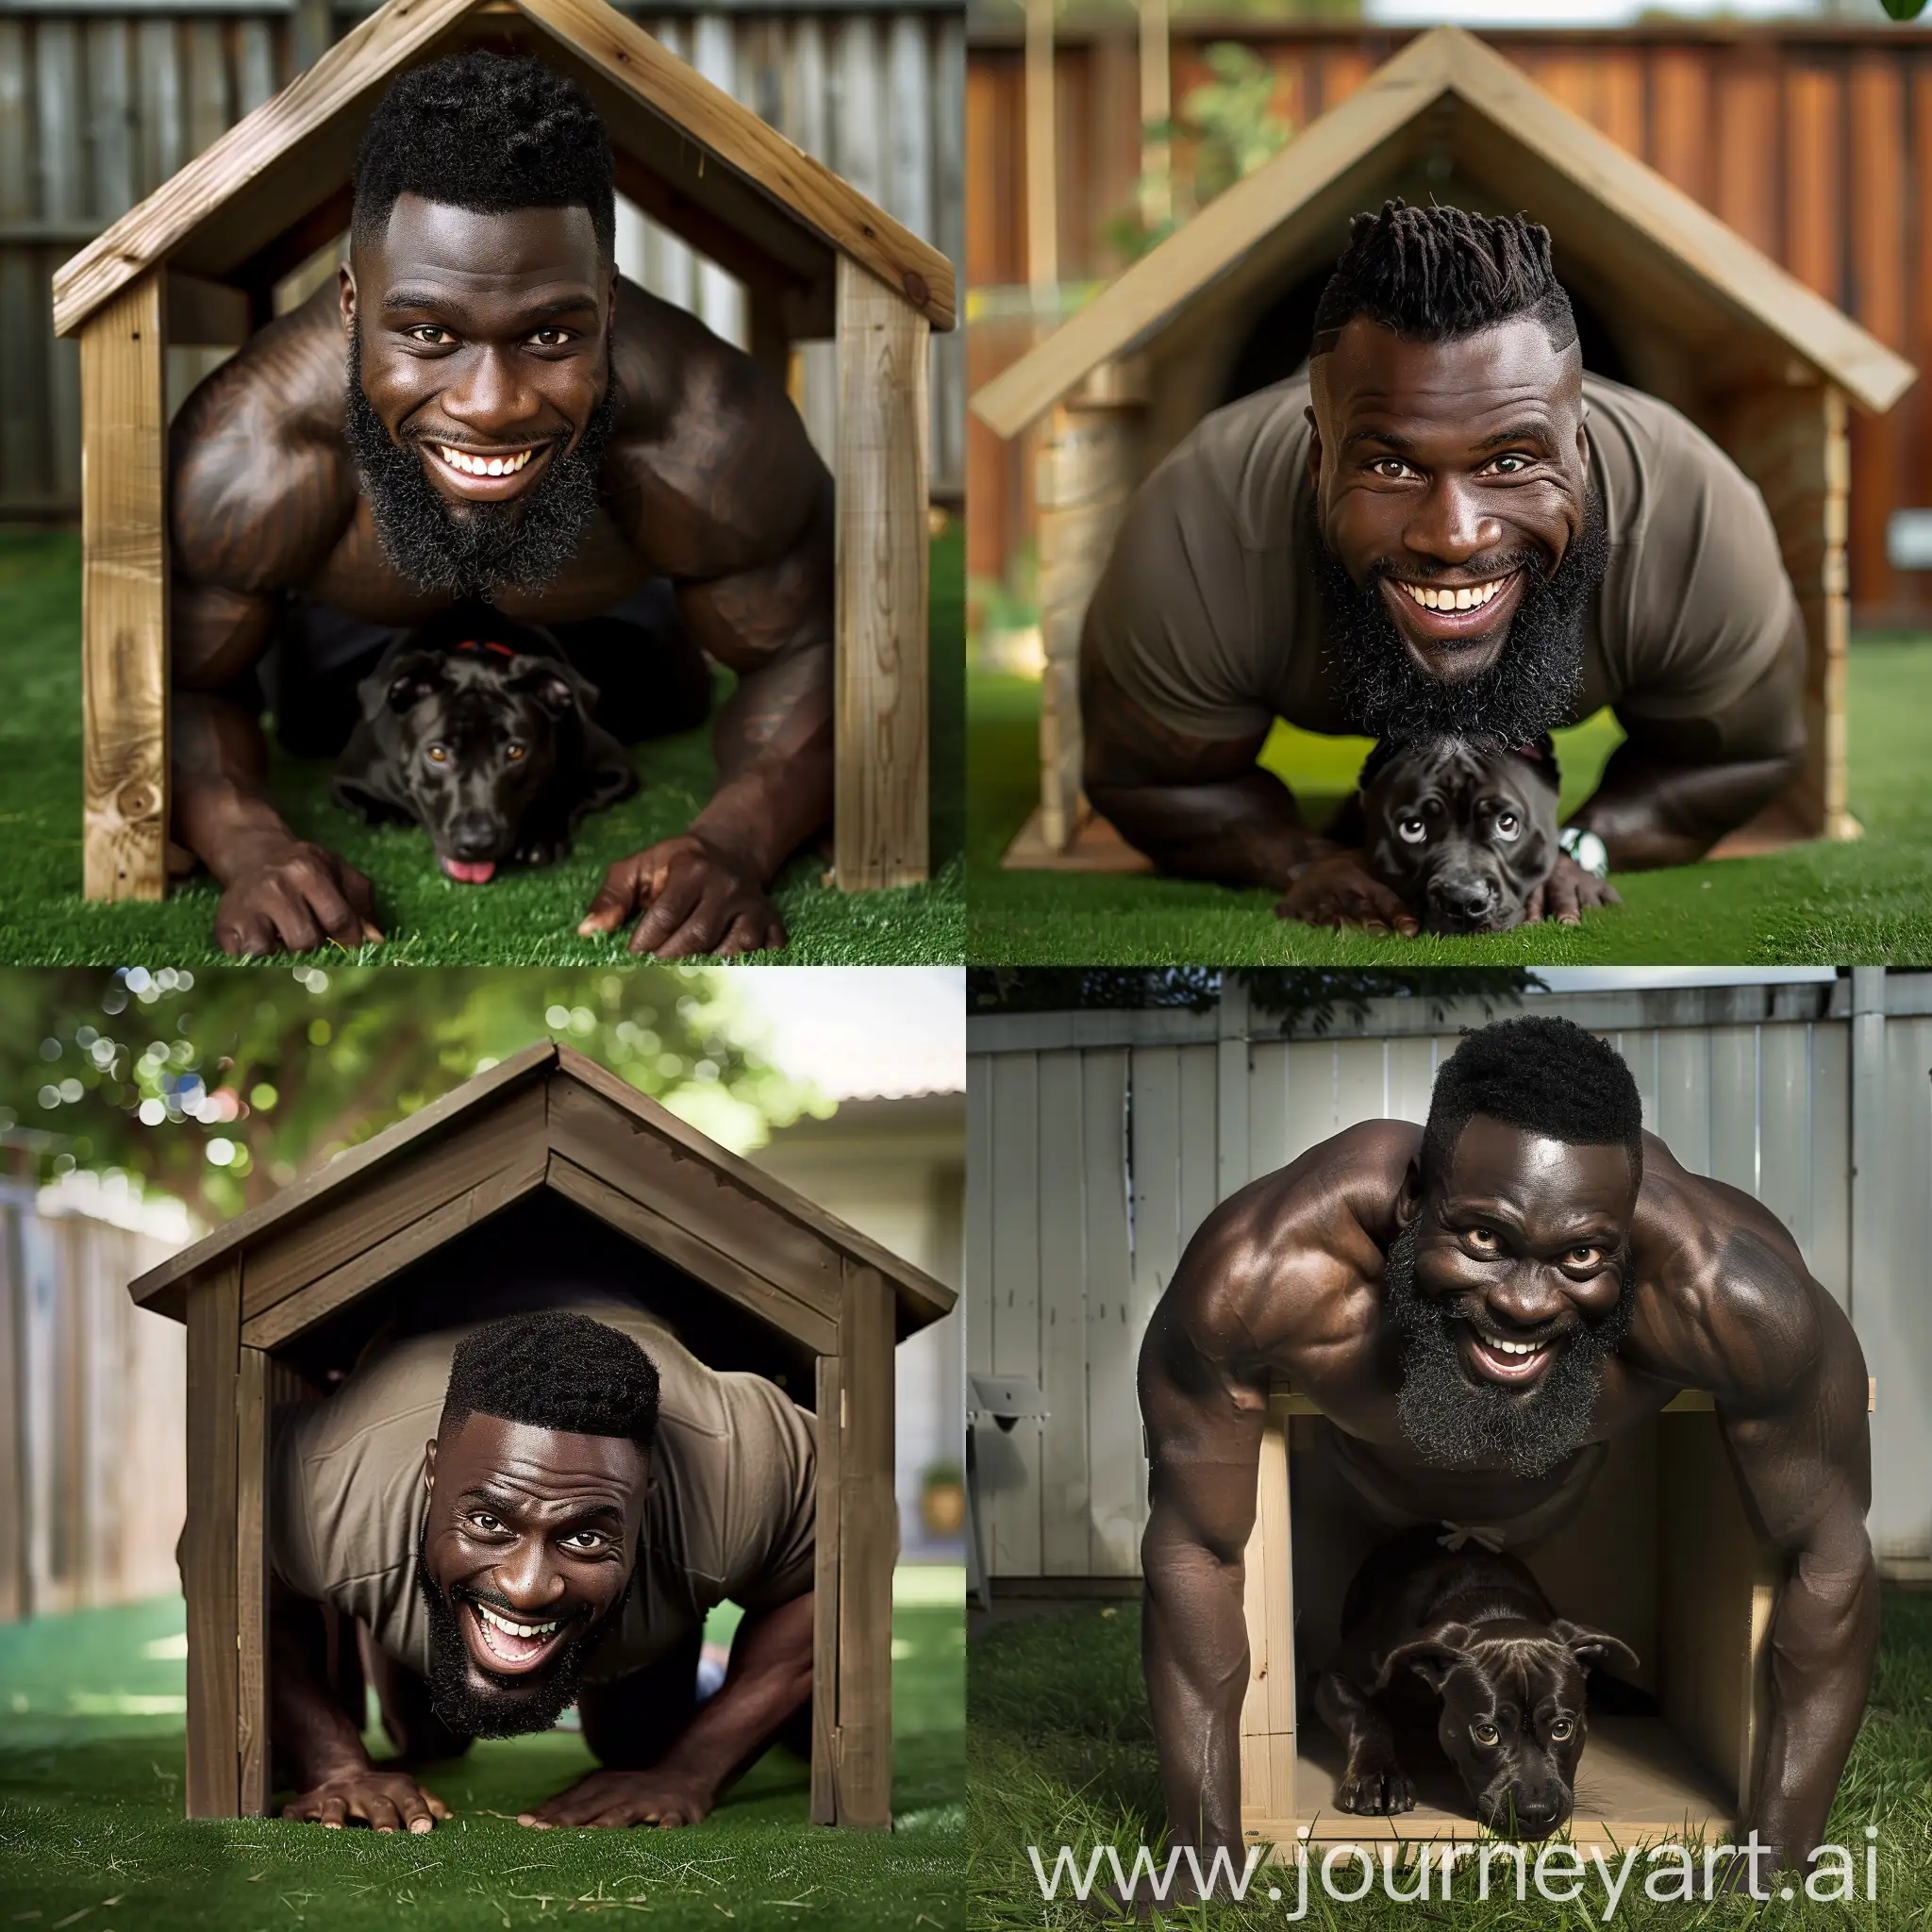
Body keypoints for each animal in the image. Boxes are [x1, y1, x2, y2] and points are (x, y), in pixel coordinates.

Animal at [328, 607, 637, 884]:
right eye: (437, 754)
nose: (476, 844)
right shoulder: (350, 778)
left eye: (515, 752)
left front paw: (540, 836)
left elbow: (567, 791)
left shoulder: (614, 767)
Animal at [1313, 1522, 1630, 1839]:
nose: (1537, 1813)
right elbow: (1366, 1714)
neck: (1493, 1608)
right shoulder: (1334, 1675)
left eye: (1563, 1728)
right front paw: (1379, 1775)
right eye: (1486, 1732)